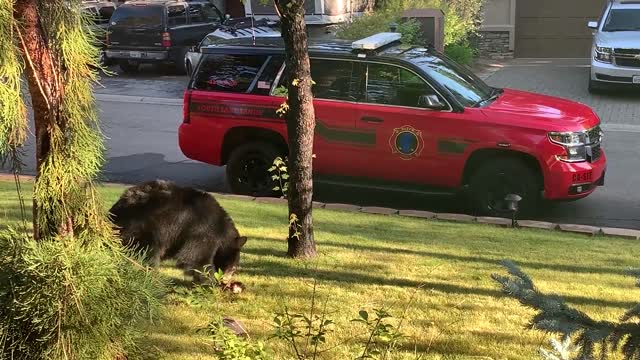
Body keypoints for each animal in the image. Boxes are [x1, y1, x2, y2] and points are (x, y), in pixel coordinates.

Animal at [107, 180, 248, 282]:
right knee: (147, 253)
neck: (221, 228)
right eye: (234, 267)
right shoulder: (202, 230)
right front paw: (210, 282)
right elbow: (197, 258)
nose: (227, 280)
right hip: (144, 227)